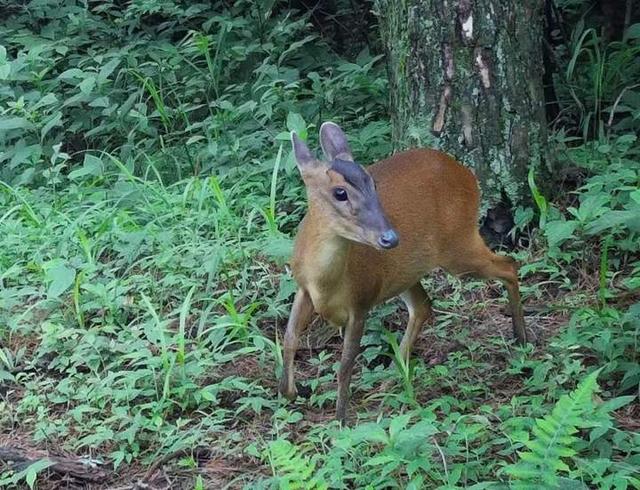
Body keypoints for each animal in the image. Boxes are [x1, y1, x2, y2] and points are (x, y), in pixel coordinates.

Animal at [278, 120, 528, 424]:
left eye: (372, 182)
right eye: (340, 192)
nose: (389, 238)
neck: (327, 282)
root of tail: (465, 172)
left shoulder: (362, 299)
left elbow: (345, 365)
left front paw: (340, 420)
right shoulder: (302, 287)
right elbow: (289, 339)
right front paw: (291, 393)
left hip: (458, 245)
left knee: (509, 264)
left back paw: (520, 336)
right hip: (407, 270)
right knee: (423, 305)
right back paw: (393, 377)